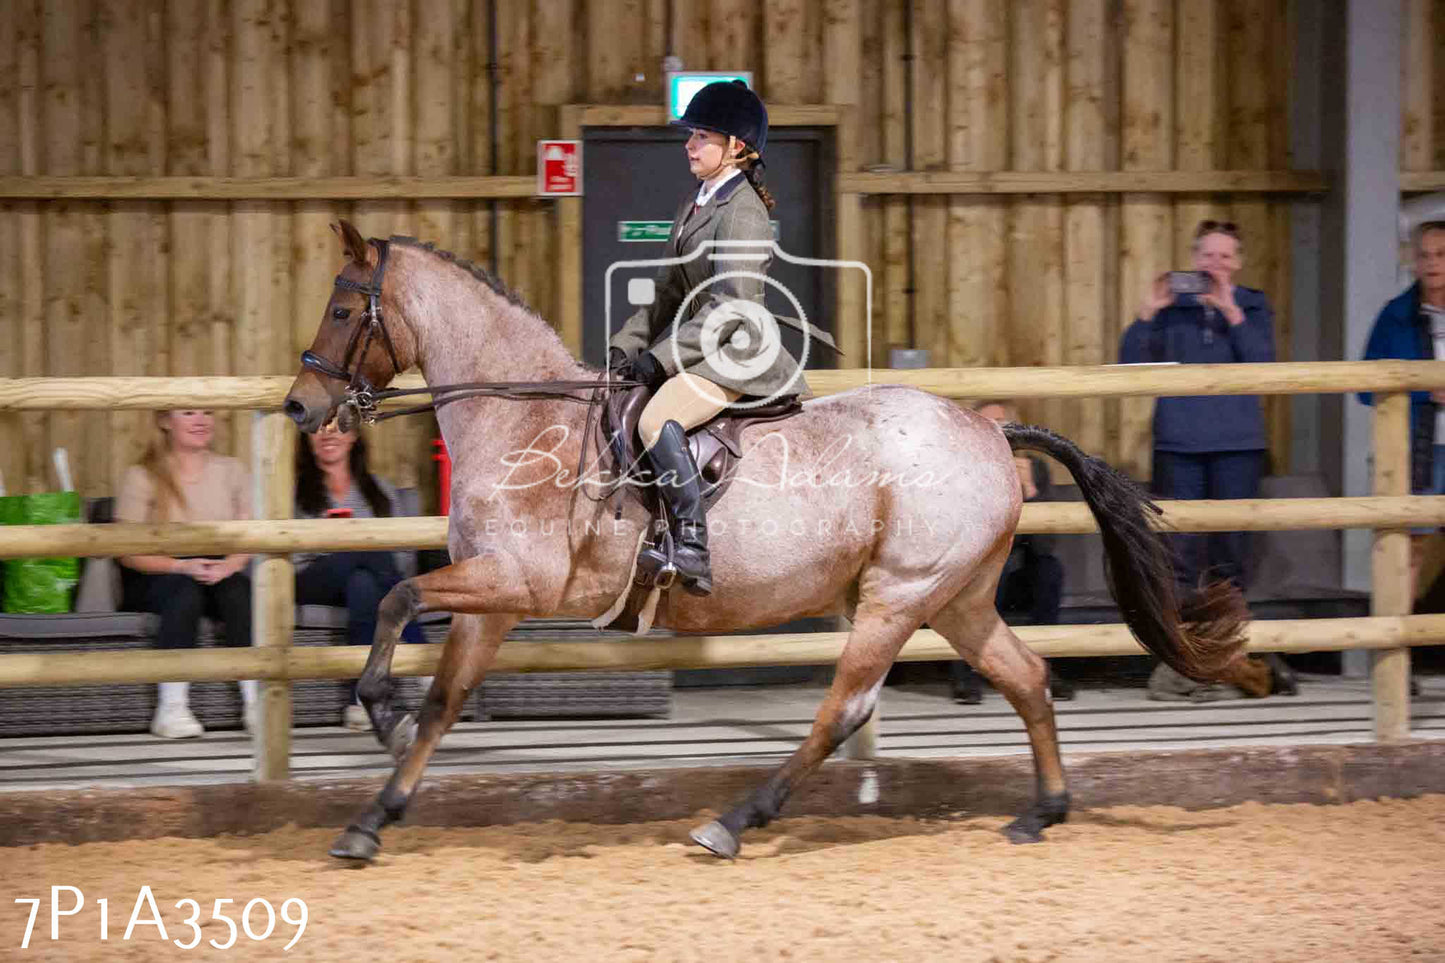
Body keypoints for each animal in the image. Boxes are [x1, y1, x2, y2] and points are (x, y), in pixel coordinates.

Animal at [281, 221, 1254, 856]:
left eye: (342, 308)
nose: (300, 406)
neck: (520, 415)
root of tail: (986, 428)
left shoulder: (518, 582)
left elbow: (399, 596)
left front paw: (380, 712)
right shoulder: (492, 597)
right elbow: (444, 696)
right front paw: (373, 814)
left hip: (897, 594)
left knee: (844, 709)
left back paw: (733, 821)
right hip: (957, 597)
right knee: (1026, 676)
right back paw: (1041, 810)